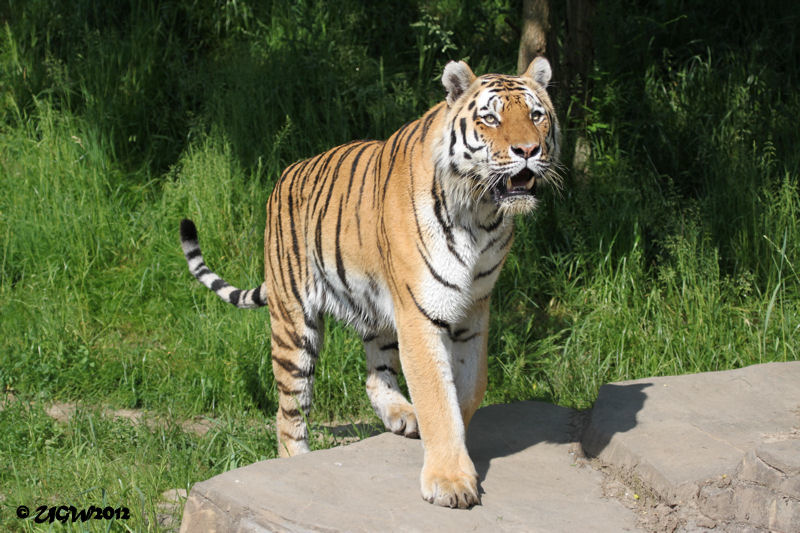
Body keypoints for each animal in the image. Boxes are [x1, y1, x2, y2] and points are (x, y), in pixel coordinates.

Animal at [180, 57, 564, 508]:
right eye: (490, 118)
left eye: (536, 115)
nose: (528, 151)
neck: (481, 214)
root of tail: (285, 175)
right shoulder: (421, 313)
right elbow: (437, 395)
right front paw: (451, 480)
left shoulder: (474, 310)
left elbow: (469, 389)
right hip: (295, 325)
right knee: (289, 409)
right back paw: (296, 459)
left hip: (379, 312)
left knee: (374, 374)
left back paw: (402, 415)